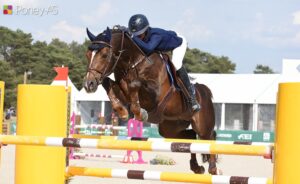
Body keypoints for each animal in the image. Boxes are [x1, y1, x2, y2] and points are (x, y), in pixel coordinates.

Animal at [82, 25, 218, 174]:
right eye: (87, 55)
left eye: (105, 55)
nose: (89, 85)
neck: (132, 63)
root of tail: (205, 91)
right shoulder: (123, 92)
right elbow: (108, 83)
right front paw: (122, 111)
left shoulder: (155, 95)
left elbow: (135, 84)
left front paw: (139, 113)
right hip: (170, 127)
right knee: (191, 138)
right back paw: (196, 167)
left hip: (202, 126)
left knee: (209, 138)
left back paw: (212, 168)